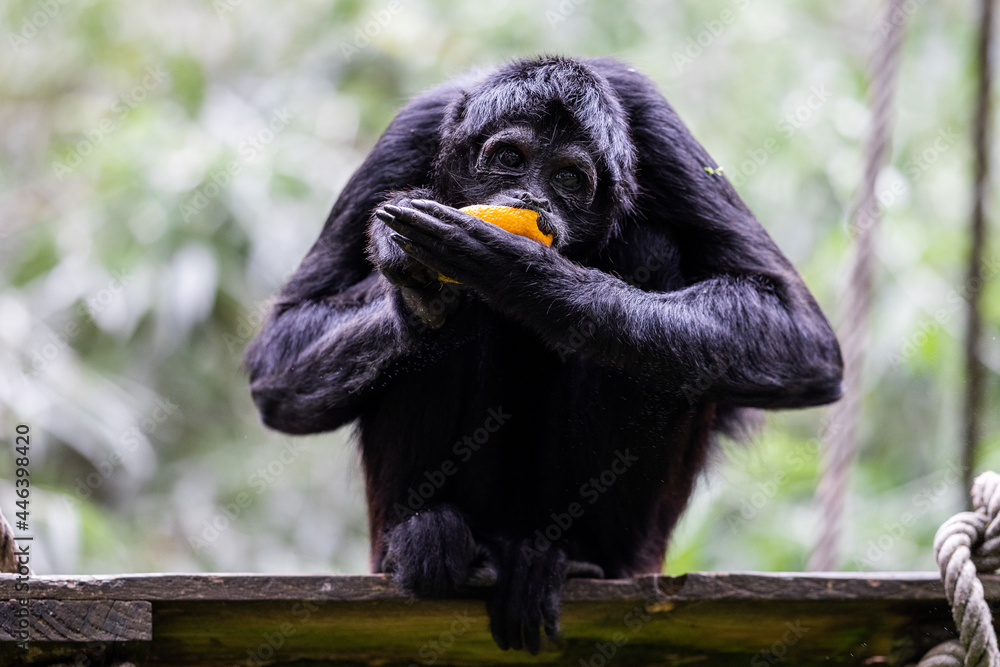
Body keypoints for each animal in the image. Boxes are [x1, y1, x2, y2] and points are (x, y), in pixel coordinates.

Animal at [244, 56, 844, 652]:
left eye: (568, 179)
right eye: (510, 158)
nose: (531, 201)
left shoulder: (659, 131)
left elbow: (804, 341)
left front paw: (524, 275)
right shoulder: (412, 131)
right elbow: (276, 365)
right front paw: (415, 282)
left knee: (651, 248)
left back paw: (566, 558)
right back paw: (425, 540)